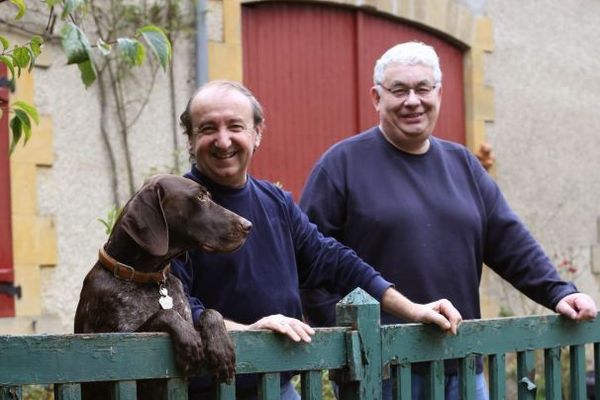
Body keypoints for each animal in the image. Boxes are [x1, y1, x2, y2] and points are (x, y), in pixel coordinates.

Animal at [75, 173, 251, 398]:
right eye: (200, 197)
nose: (248, 225)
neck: (149, 278)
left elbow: (210, 312)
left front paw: (221, 347)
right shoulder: (120, 342)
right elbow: (165, 314)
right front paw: (188, 339)